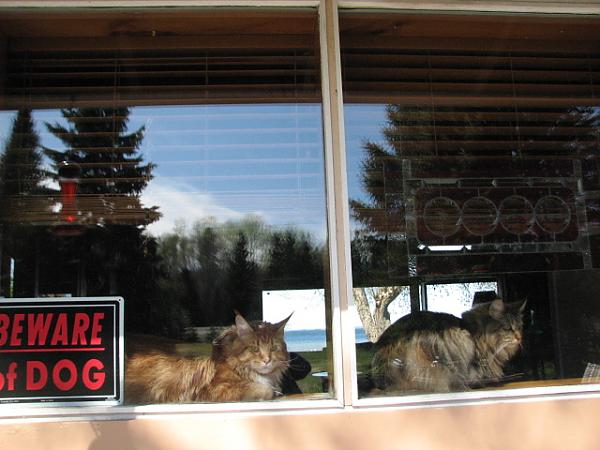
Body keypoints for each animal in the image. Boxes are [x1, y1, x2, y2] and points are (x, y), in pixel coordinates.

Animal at [127, 312, 292, 404]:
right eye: (255, 349)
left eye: (274, 348)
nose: (267, 360)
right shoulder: (214, 390)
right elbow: (263, 389)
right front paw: (273, 392)